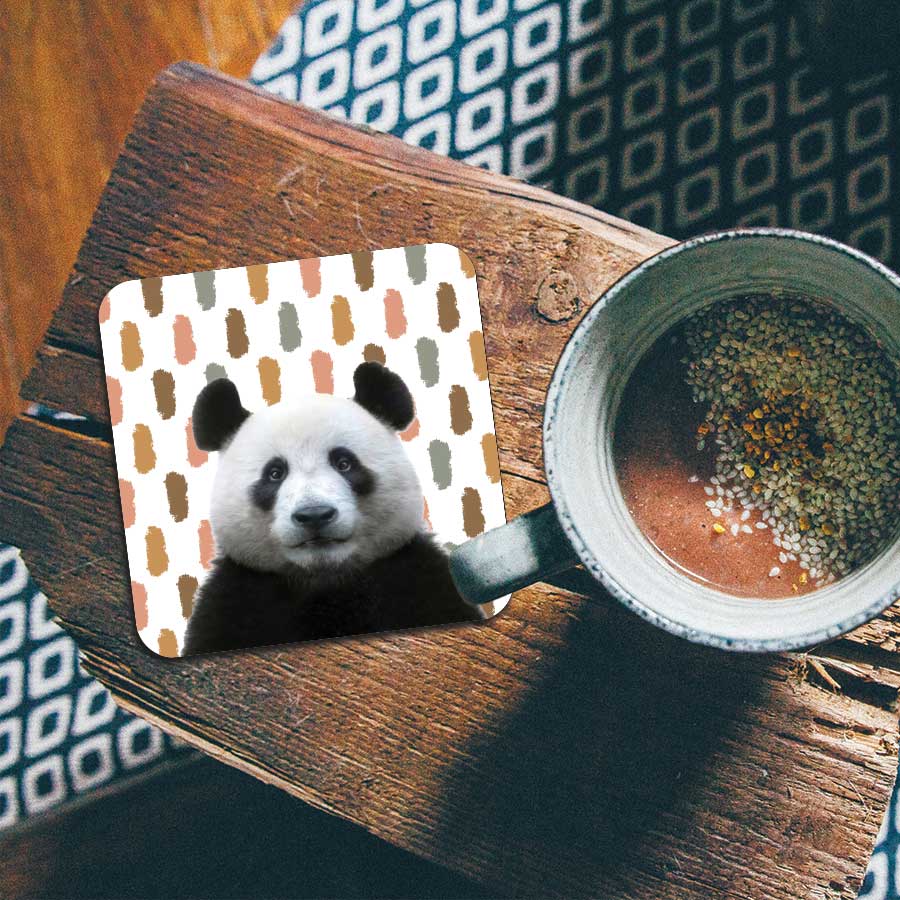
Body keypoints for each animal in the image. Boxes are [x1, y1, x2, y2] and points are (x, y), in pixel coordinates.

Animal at [182, 361, 481, 655]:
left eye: (344, 463)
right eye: (275, 473)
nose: (314, 515)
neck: (325, 580)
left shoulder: (413, 578)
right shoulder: (237, 599)